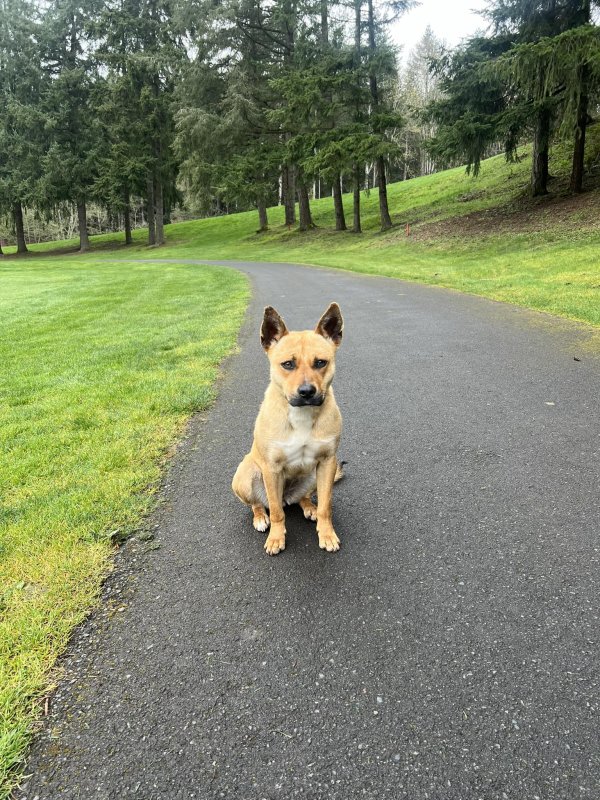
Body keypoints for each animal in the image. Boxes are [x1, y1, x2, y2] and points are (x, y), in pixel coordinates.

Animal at [233, 304, 346, 552]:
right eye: (288, 364)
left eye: (321, 362)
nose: (306, 392)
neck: (301, 415)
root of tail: (288, 496)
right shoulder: (272, 468)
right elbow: (276, 512)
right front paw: (276, 538)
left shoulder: (327, 462)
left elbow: (326, 506)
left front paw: (327, 533)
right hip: (245, 475)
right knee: (260, 504)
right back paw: (260, 517)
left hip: (313, 476)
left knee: (303, 498)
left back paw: (308, 506)